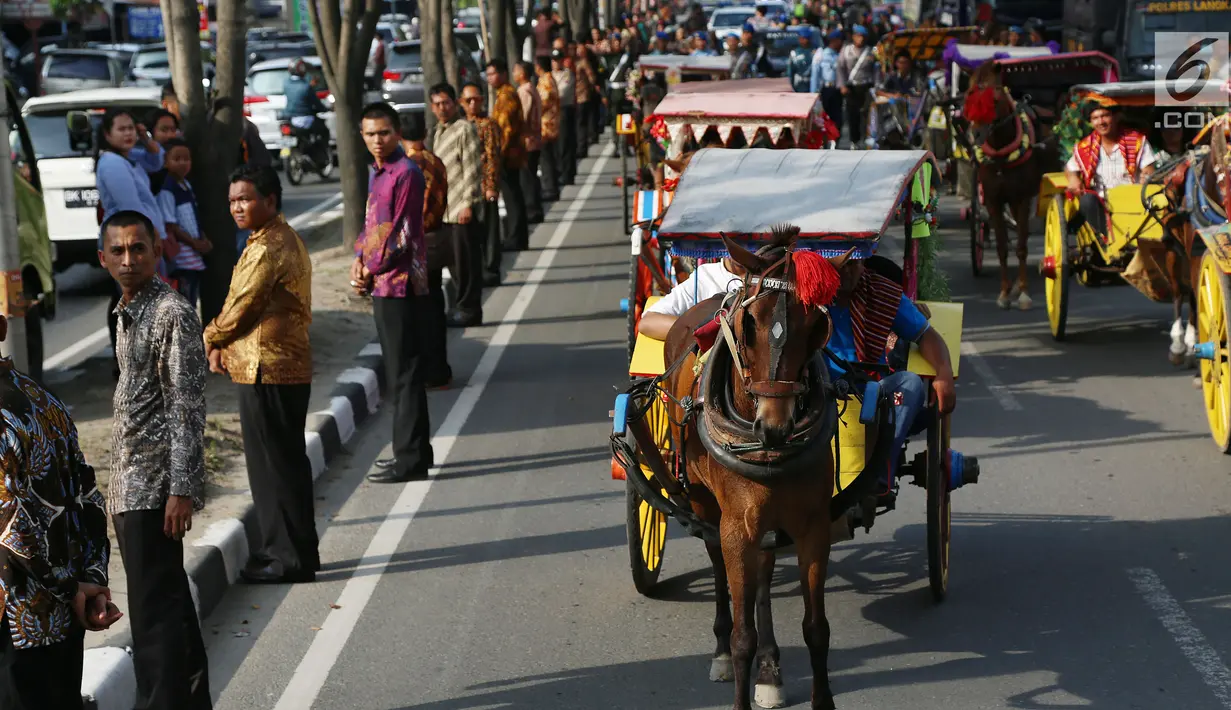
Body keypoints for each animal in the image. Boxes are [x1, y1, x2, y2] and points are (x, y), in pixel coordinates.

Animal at [659, 228, 851, 708]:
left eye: (815, 327)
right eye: (749, 326)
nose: (775, 426)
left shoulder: (813, 526)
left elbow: (816, 628)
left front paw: (820, 697)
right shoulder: (735, 527)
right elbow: (742, 630)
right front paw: (737, 661)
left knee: (762, 573)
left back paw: (769, 668)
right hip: (705, 502)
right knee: (719, 570)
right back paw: (723, 653)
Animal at [965, 63, 1043, 310]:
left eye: (994, 100)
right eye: (969, 97)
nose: (977, 133)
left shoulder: (1022, 198)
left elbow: (1021, 246)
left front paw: (1024, 293)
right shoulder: (993, 201)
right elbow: (1002, 246)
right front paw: (1004, 293)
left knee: (1023, 235)